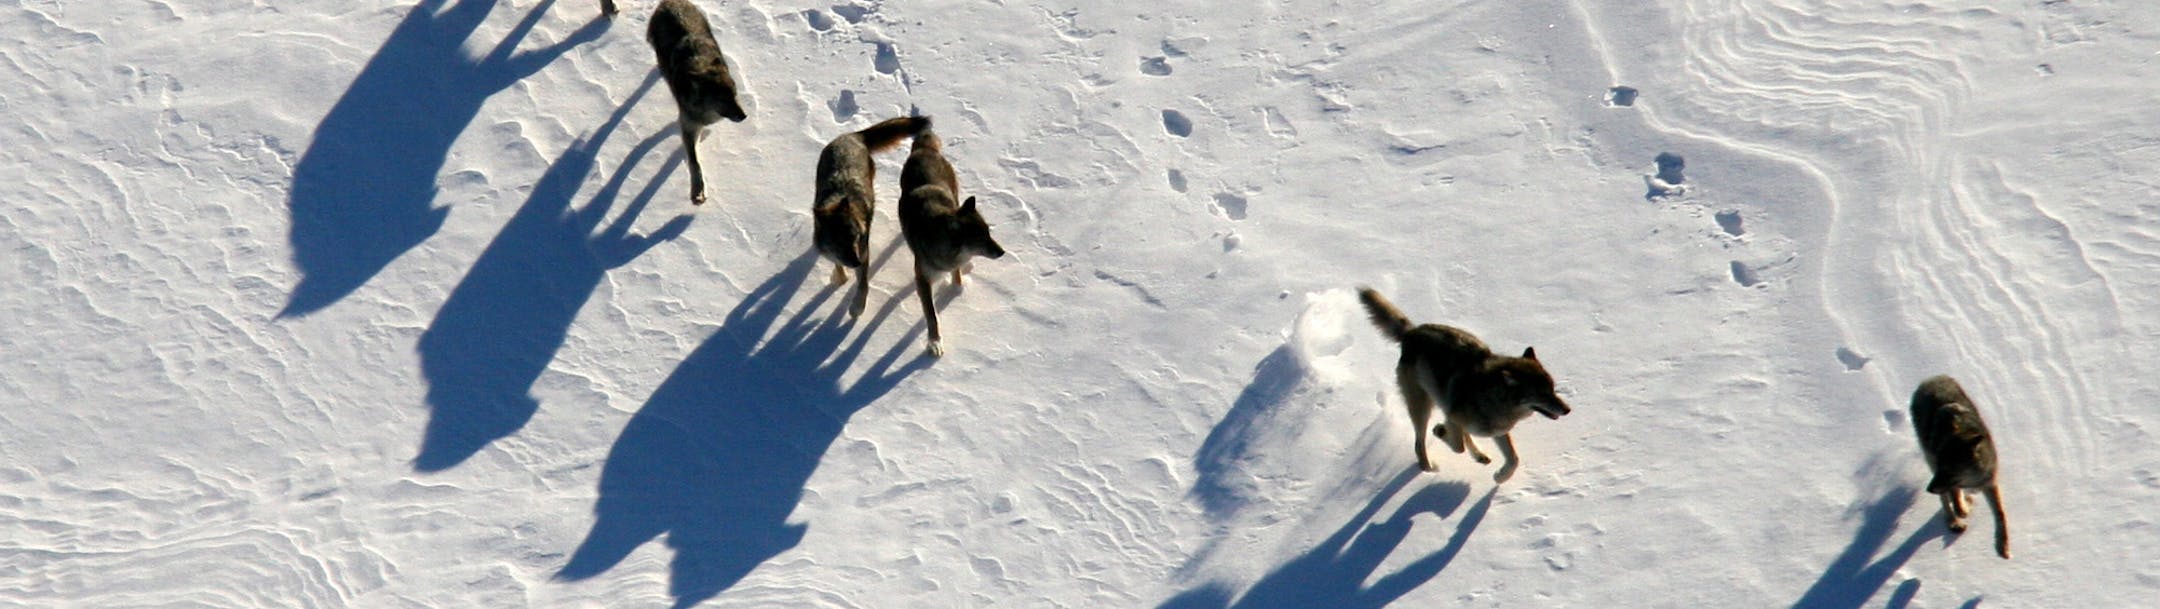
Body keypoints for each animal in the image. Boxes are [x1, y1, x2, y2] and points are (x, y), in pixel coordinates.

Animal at [648, 0, 747, 205]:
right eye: (723, 99)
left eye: (734, 95)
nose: (744, 116)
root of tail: (669, 2)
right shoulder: (688, 124)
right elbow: (694, 162)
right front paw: (697, 192)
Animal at [813, 115, 931, 318]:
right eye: (838, 241)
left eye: (854, 237)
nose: (856, 262)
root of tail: (852, 136)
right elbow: (837, 265)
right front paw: (839, 278)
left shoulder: (864, 252)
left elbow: (862, 285)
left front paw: (856, 308)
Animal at [897, 128, 1005, 357]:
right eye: (980, 238)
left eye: (988, 233)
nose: (1002, 252)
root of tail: (924, 149)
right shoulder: (922, 279)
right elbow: (932, 316)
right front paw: (934, 343)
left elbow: (956, 274)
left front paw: (957, 288)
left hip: (955, 191)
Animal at [1357, 288, 1571, 483]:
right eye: (1542, 394)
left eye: (1552, 389)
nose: (1568, 410)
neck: (1491, 398)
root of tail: (1411, 332)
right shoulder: (1453, 417)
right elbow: (1457, 445)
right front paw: (1440, 431)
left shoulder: (1498, 431)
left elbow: (1514, 459)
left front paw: (1500, 477)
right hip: (1422, 408)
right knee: (1419, 444)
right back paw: (1428, 469)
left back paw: (1479, 456)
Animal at [1910, 374, 2010, 559]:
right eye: (1941, 467)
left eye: (1949, 470)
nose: (1929, 489)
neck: (1972, 479)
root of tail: (1930, 380)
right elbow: (1954, 497)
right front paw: (1962, 510)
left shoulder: (1989, 483)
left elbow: (2000, 513)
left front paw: (2003, 546)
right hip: (1929, 460)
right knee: (1945, 501)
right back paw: (1954, 522)